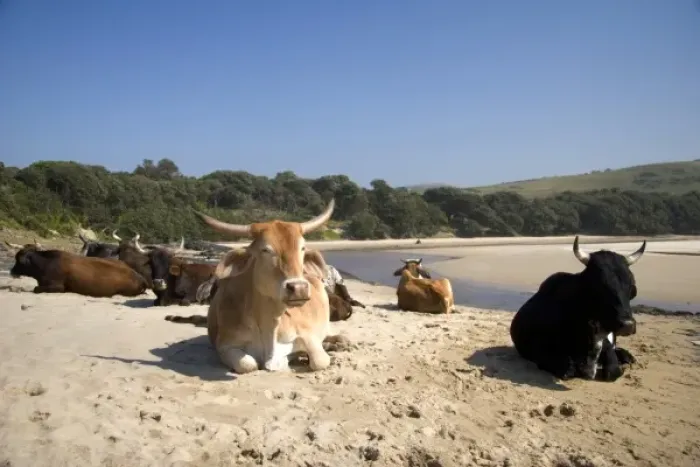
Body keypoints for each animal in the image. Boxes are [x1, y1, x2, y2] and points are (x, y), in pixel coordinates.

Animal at [5, 243, 148, 297]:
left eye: (19, 260)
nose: (12, 271)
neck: (45, 263)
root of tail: (140, 278)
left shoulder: (57, 286)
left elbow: (36, 289)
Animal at [190, 200, 336, 374]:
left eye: (302, 248)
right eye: (265, 249)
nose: (298, 288)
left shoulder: (307, 334)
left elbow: (320, 360)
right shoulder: (225, 345)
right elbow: (248, 364)